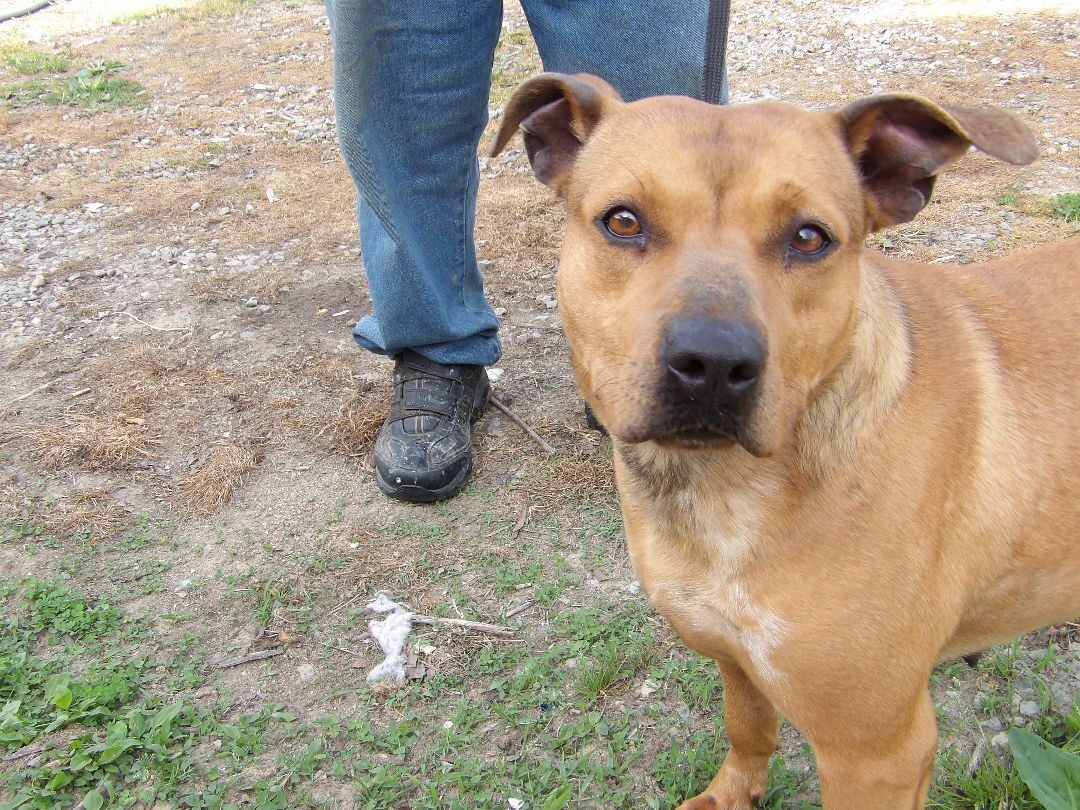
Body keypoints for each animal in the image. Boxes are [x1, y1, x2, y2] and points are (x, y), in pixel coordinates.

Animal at [494, 72, 1080, 807]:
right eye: (623, 221)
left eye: (809, 237)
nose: (713, 364)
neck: (724, 492)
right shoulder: (734, 655)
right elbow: (747, 727)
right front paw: (730, 795)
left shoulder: (878, 753)